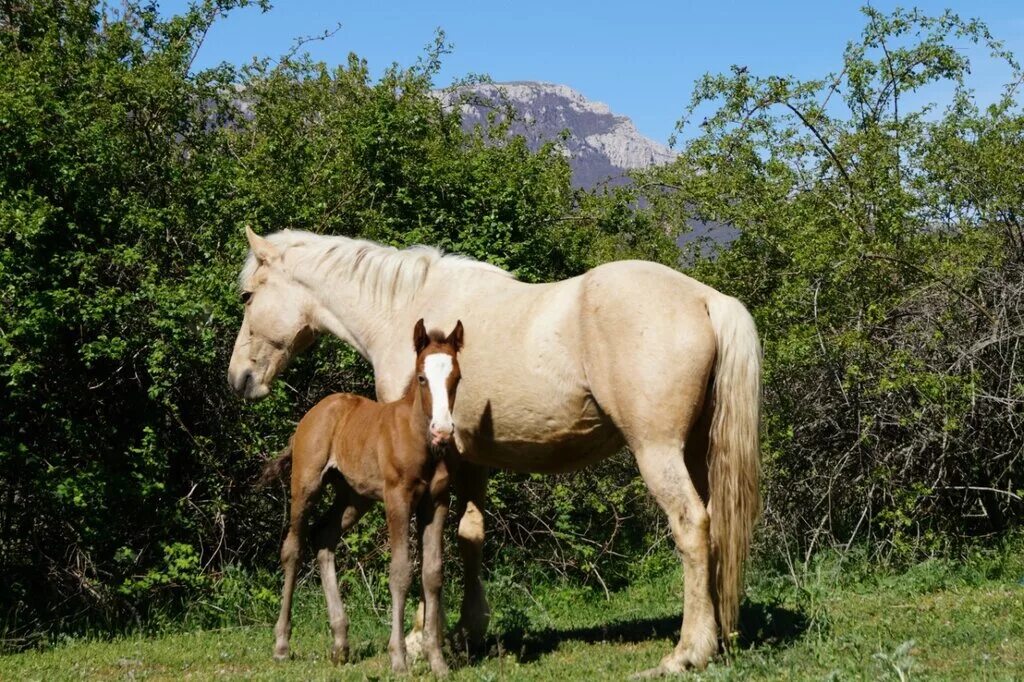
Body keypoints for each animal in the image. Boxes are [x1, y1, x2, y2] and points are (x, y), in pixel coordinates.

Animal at [258, 319, 466, 675]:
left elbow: (433, 573)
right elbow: (400, 572)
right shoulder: (397, 498)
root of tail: (316, 411)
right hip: (306, 484)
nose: (443, 431)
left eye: (457, 378)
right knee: (293, 547)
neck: (420, 440)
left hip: (354, 497)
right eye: (422, 378)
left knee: (323, 536)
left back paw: (340, 642)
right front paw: (398, 658)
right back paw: (282, 644)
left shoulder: (436, 502)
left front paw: (437, 661)